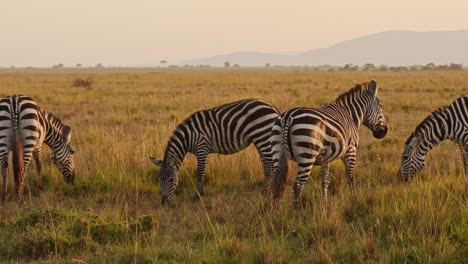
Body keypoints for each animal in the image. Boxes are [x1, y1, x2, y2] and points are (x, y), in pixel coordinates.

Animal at [149, 98, 282, 204]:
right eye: (159, 179)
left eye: (171, 179)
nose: (164, 202)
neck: (188, 136)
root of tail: (272, 106)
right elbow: (202, 172)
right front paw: (201, 193)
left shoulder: (202, 148)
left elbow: (200, 173)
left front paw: (197, 196)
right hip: (260, 139)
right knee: (267, 166)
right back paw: (264, 192)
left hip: (262, 135)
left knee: (272, 165)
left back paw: (270, 192)